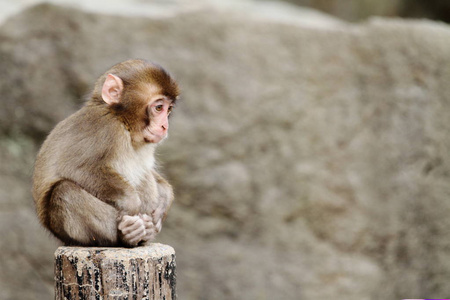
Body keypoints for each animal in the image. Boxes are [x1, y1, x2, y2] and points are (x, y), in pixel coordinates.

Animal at [32, 58, 179, 246]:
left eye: (169, 110)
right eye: (159, 107)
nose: (164, 126)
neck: (122, 121)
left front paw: (165, 198)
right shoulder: (106, 129)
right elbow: (77, 168)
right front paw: (131, 203)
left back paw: (144, 232)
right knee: (65, 191)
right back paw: (127, 234)